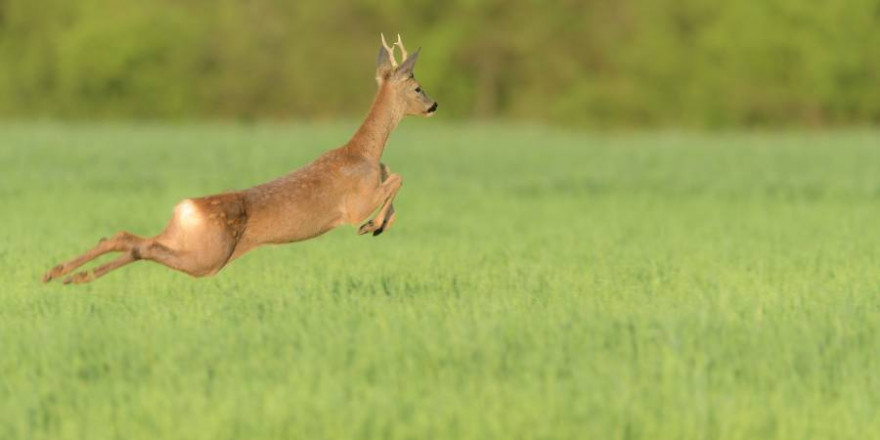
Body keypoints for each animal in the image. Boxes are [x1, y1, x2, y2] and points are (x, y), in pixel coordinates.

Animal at [44, 34, 436, 286]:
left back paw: (63, 274)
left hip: (186, 240)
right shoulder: (354, 203)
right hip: (209, 257)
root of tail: (185, 208)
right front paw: (372, 225)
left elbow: (394, 182)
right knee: (142, 246)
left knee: (126, 237)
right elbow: (398, 178)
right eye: (418, 88)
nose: (434, 104)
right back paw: (71, 275)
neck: (366, 153)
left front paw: (379, 225)